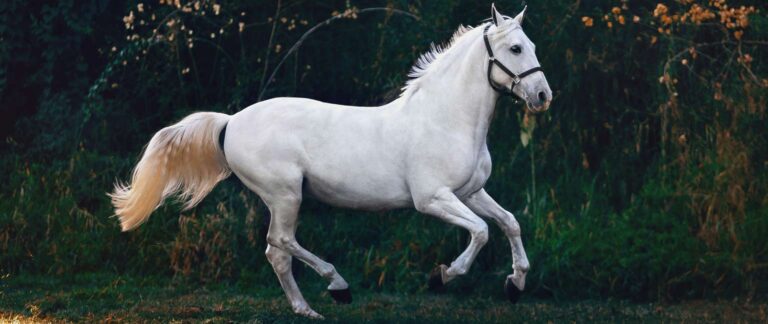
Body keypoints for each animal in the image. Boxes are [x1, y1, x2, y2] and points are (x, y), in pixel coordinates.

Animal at [111, 4, 548, 318]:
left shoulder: (471, 192)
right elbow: (481, 232)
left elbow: (509, 223)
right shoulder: (433, 199)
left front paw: (515, 284)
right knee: (280, 243)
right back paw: (337, 287)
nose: (543, 96)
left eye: (533, 46)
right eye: (515, 49)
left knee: (276, 253)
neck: (445, 119)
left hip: (284, 198)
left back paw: (307, 310)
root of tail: (230, 121)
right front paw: (442, 276)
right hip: (285, 194)